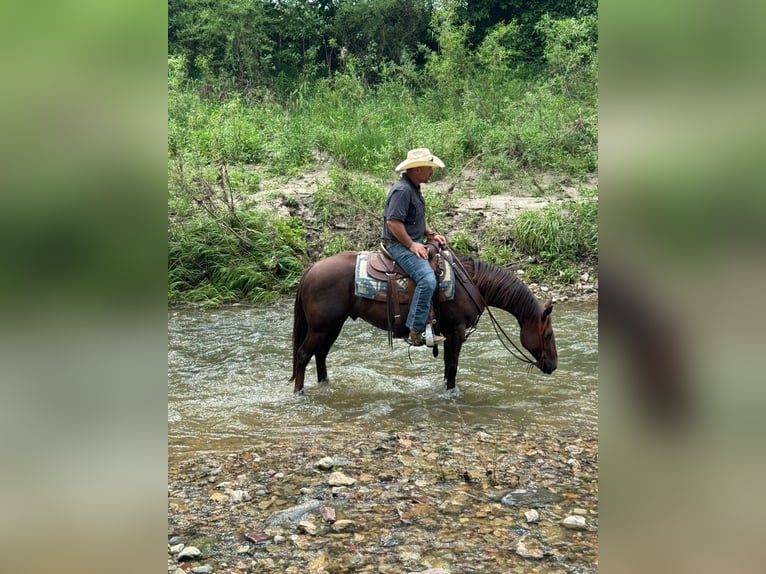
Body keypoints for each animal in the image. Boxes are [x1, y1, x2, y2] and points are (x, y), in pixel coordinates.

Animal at [288, 250, 560, 394]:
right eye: (548, 335)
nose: (553, 366)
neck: (470, 282)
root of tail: (310, 270)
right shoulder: (456, 331)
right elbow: (452, 367)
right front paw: (451, 394)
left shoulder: (450, 333)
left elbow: (447, 366)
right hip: (321, 328)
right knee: (303, 355)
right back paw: (299, 393)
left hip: (331, 326)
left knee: (320, 355)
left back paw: (324, 385)